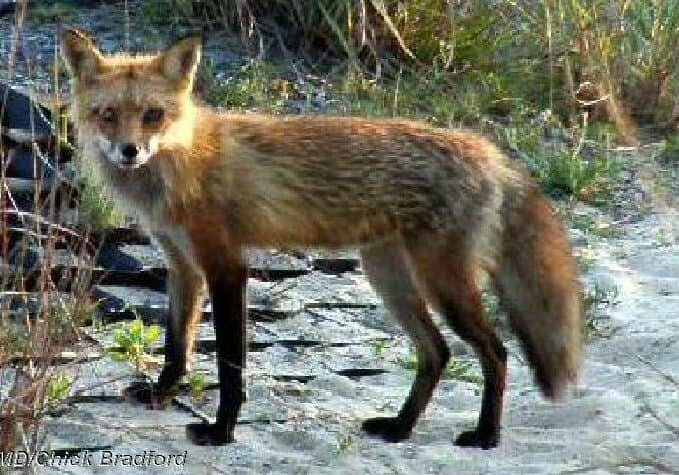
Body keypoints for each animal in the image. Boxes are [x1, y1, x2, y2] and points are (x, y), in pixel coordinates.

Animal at [60, 28, 582, 448]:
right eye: (108, 114)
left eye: (153, 115)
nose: (130, 151)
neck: (182, 161)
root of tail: (489, 151)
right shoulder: (182, 266)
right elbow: (176, 347)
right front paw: (161, 393)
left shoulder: (227, 266)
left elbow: (230, 364)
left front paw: (222, 430)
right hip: (388, 277)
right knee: (438, 353)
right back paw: (400, 428)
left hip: (442, 283)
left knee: (495, 352)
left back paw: (487, 434)